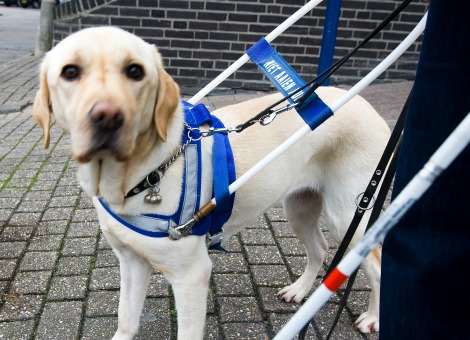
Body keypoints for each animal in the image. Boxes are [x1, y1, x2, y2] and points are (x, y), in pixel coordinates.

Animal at [33, 25, 390, 338]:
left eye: (135, 71)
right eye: (70, 72)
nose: (107, 116)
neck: (141, 175)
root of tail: (370, 108)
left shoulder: (192, 276)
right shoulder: (132, 262)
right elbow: (126, 320)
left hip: (347, 215)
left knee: (376, 263)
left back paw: (373, 318)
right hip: (300, 207)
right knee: (320, 248)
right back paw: (299, 291)